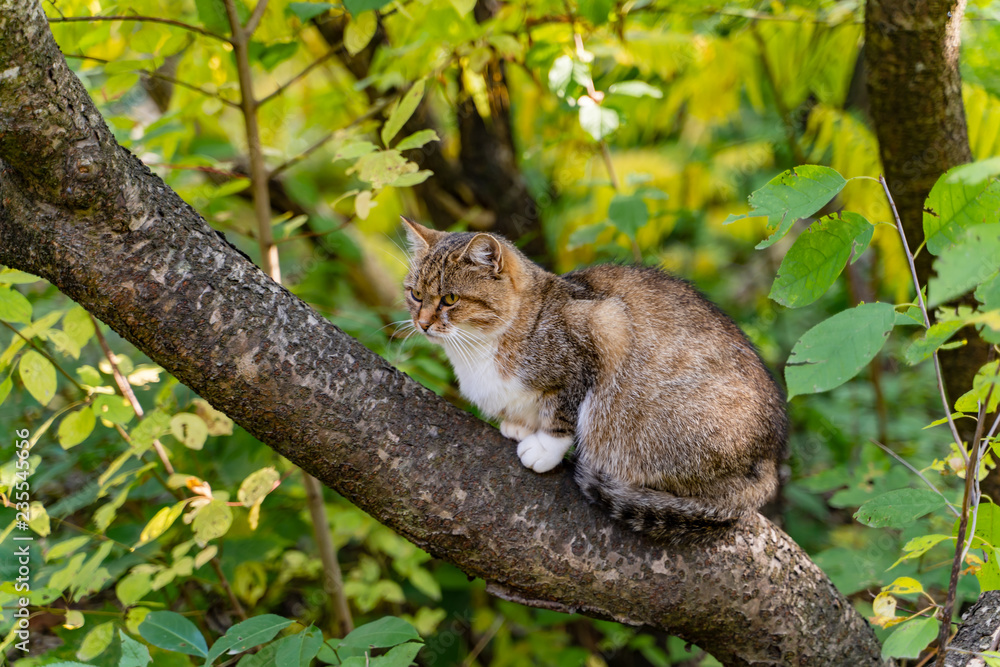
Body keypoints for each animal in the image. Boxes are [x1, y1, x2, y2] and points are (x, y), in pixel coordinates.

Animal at [400, 217, 788, 540]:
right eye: (416, 294)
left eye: (450, 299)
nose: (422, 323)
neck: (477, 351)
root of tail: (770, 461)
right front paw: (519, 425)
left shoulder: (604, 330)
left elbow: (565, 411)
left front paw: (544, 447)